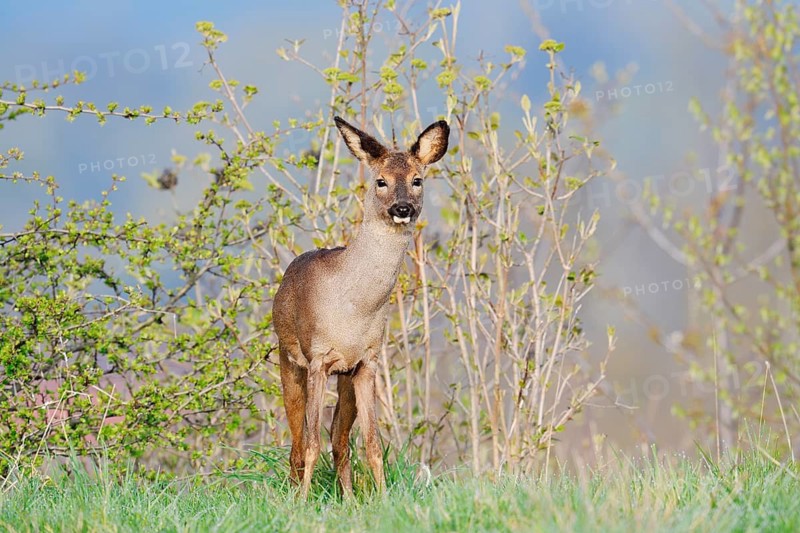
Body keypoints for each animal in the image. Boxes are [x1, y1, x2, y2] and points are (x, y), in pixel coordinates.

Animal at [272, 116, 449, 499]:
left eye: (417, 180)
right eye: (381, 180)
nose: (402, 208)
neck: (354, 306)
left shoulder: (367, 361)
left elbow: (372, 444)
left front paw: (383, 499)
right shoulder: (318, 358)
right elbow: (311, 443)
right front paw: (303, 503)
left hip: (345, 376)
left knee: (339, 439)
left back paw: (350, 500)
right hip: (287, 358)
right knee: (297, 442)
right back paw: (293, 493)